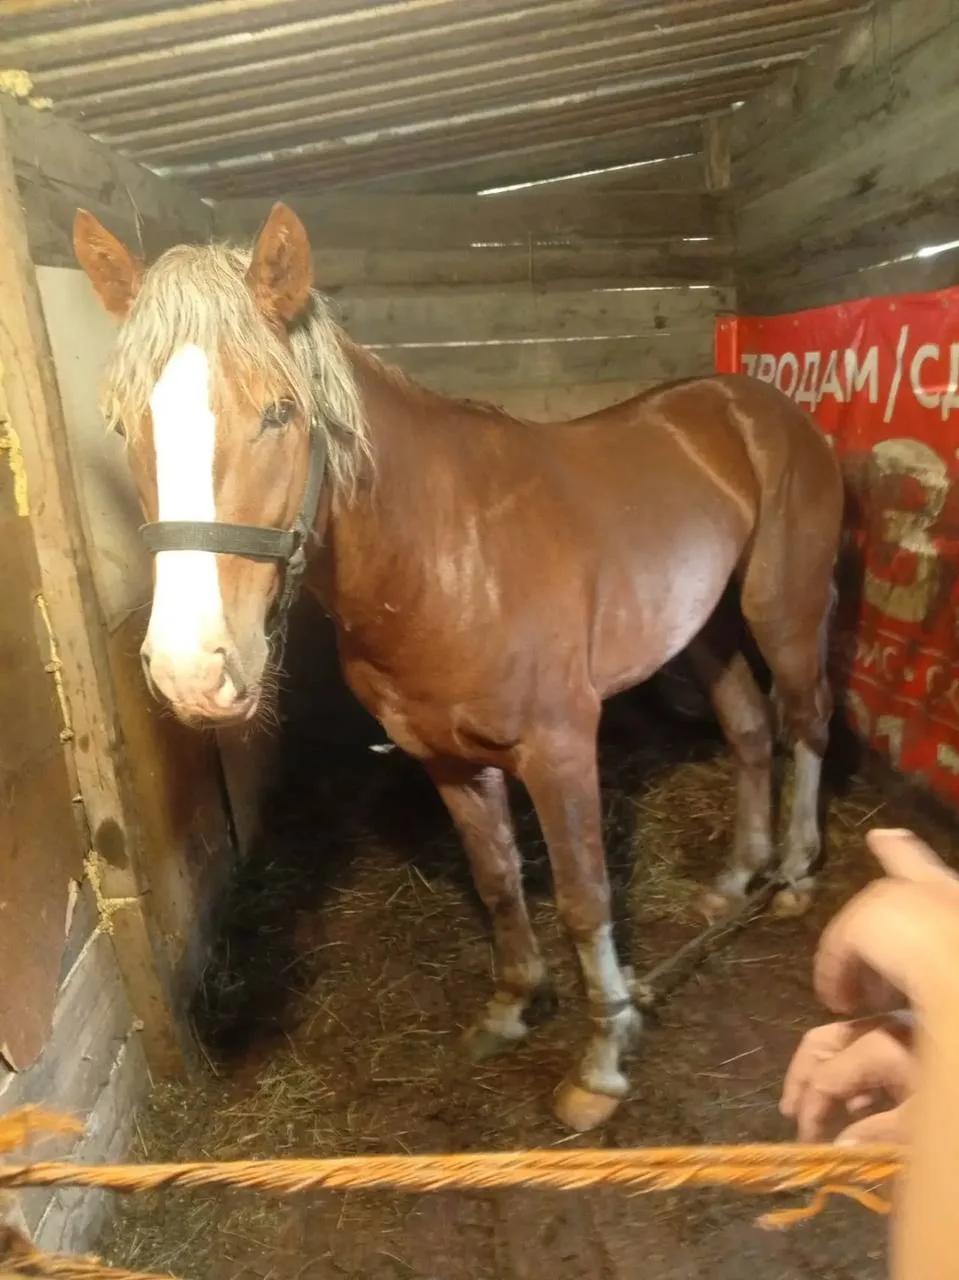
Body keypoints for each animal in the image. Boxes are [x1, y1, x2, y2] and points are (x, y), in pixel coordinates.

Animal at [73, 202, 843, 1132]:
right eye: (125, 425)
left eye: (280, 412)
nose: (192, 669)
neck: (446, 556)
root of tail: (756, 403)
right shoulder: (444, 757)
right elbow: (497, 879)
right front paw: (512, 1008)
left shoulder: (560, 750)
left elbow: (584, 898)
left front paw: (602, 1062)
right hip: (704, 627)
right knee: (750, 730)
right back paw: (734, 881)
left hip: (782, 608)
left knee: (806, 721)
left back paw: (794, 876)